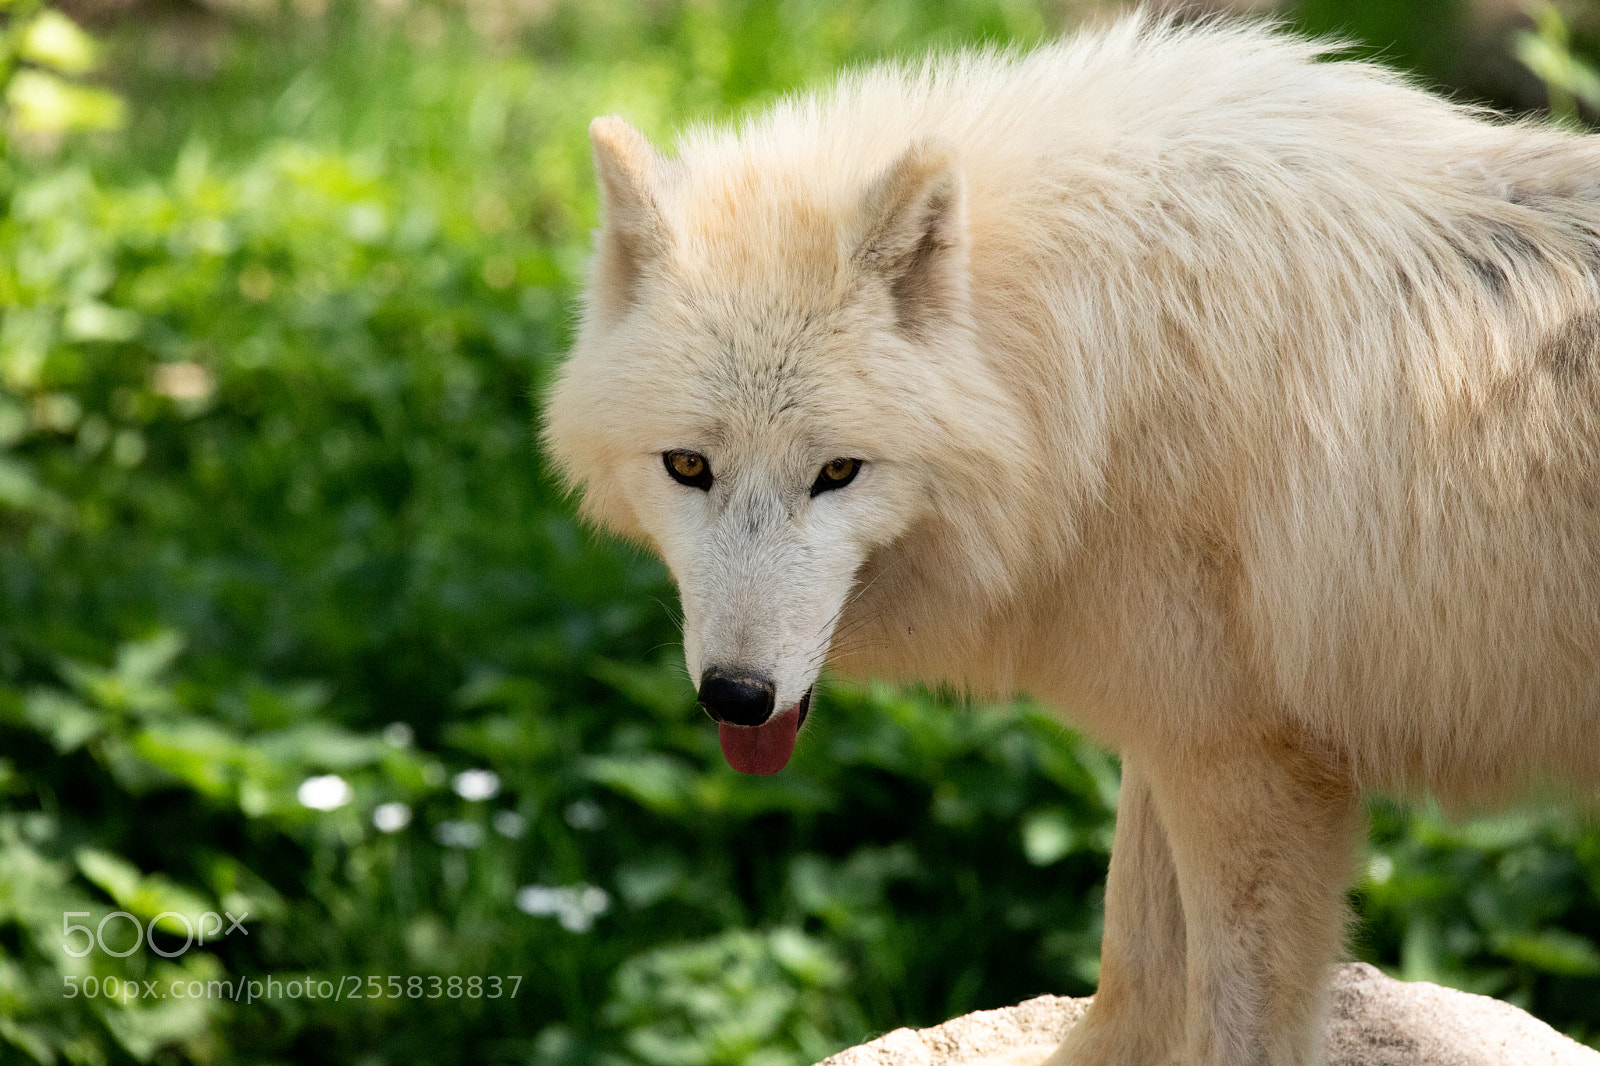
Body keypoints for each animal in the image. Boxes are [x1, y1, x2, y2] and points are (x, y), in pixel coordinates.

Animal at [543, 12, 1600, 1066]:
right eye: (688, 466)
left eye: (837, 472)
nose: (737, 696)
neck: (1085, 379)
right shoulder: (1177, 718)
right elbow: (1137, 962)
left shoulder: (1249, 765)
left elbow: (1228, 1013)